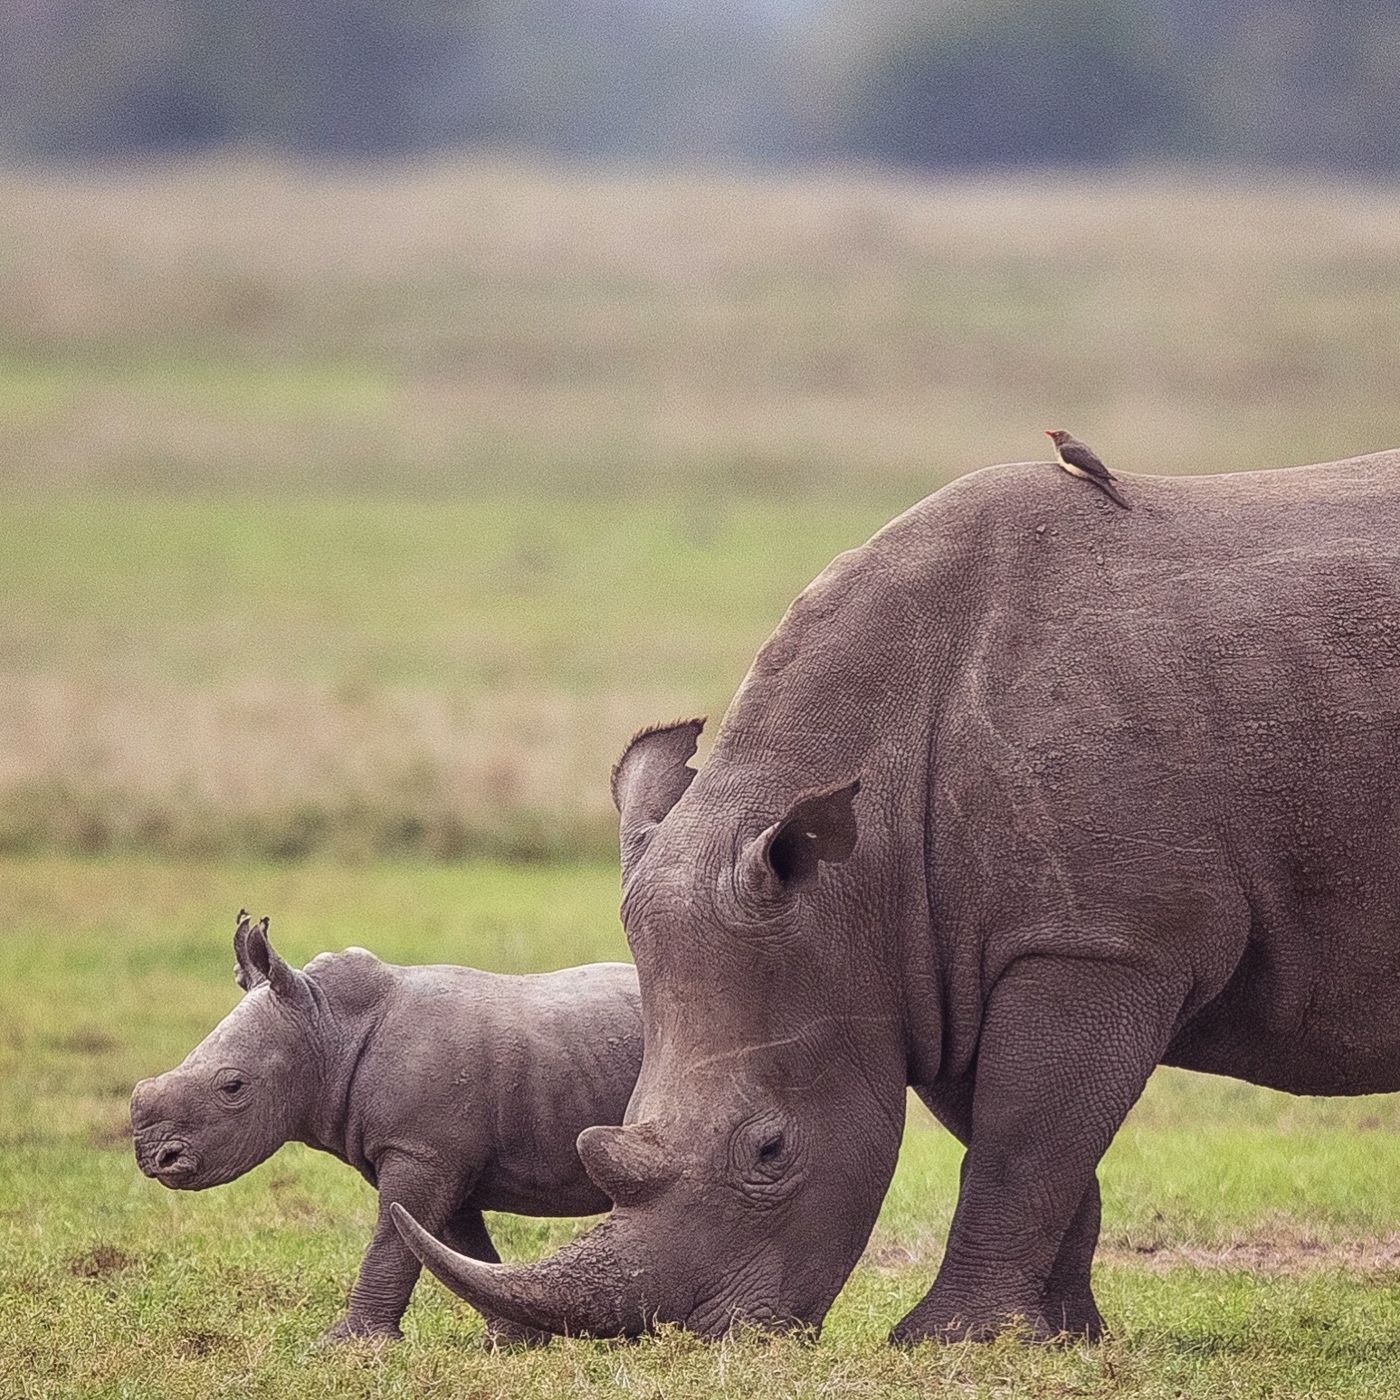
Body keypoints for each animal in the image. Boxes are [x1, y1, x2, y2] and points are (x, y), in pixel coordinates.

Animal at [130, 913, 641, 1345]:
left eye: (232, 1086)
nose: (154, 1159)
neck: (326, 1026)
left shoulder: (420, 1151)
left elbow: (393, 1240)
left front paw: (349, 1347)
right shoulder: (438, 1153)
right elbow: (452, 1242)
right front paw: (514, 1343)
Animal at [393, 449, 1400, 1344]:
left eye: (770, 1151)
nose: (691, 1337)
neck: (860, 875)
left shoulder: (1100, 940)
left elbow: (1025, 1138)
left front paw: (947, 1341)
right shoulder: (937, 962)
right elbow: (1025, 1142)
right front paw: (1054, 1339)